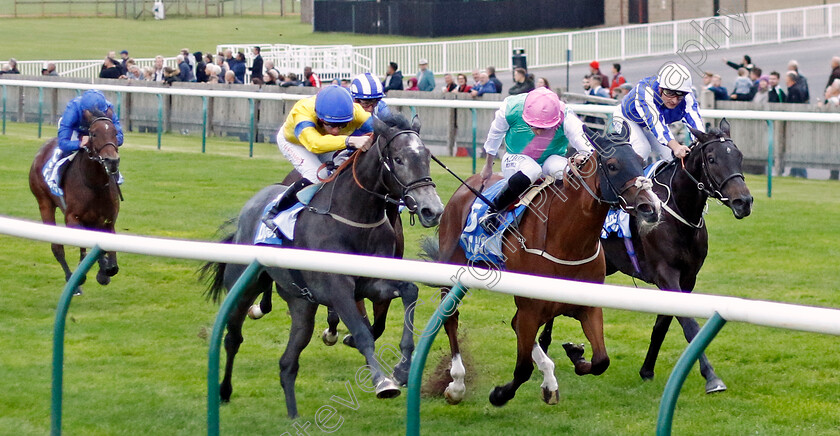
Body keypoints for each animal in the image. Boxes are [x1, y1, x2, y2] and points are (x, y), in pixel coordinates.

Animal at [28, 109, 120, 294]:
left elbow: (111, 264)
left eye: (115, 133)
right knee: (57, 247)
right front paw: (97, 269)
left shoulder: (108, 221)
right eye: (94, 134)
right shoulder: (72, 218)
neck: (94, 184)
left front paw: (104, 271)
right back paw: (74, 281)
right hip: (44, 203)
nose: (112, 161)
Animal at [201, 114, 446, 418]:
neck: (355, 217)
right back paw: (224, 391)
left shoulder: (371, 283)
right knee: (233, 338)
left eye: (427, 157)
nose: (432, 210)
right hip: (243, 288)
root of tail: (250, 208)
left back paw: (293, 416)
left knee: (288, 362)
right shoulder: (337, 289)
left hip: (301, 304)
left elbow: (410, 291)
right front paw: (383, 382)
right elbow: (363, 334)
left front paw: (402, 369)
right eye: (398, 159)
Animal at [426, 125, 664, 406]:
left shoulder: (587, 306)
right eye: (613, 165)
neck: (568, 241)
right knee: (450, 318)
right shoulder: (531, 307)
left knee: (515, 324)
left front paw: (576, 355)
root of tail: (467, 187)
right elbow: (522, 368)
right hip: (453, 268)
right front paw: (499, 394)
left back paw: (549, 378)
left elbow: (601, 360)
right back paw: (457, 384)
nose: (651, 206)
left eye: (640, 160)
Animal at [540, 117, 752, 394]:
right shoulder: (666, 273)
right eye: (712, 158)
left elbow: (663, 324)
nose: (743, 201)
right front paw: (712, 377)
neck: (678, 212)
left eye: (738, 156)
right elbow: (690, 325)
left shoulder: (687, 278)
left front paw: (647, 370)